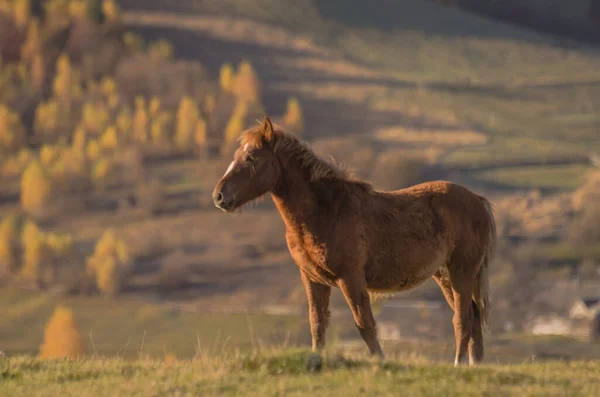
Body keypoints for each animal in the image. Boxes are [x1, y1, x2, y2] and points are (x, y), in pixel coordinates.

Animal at [213, 117, 494, 366]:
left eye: (251, 157)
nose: (219, 196)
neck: (326, 210)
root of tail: (478, 200)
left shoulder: (350, 278)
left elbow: (365, 324)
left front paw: (380, 362)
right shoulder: (312, 279)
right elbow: (317, 323)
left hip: (460, 272)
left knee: (463, 319)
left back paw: (458, 364)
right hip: (445, 275)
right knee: (472, 318)